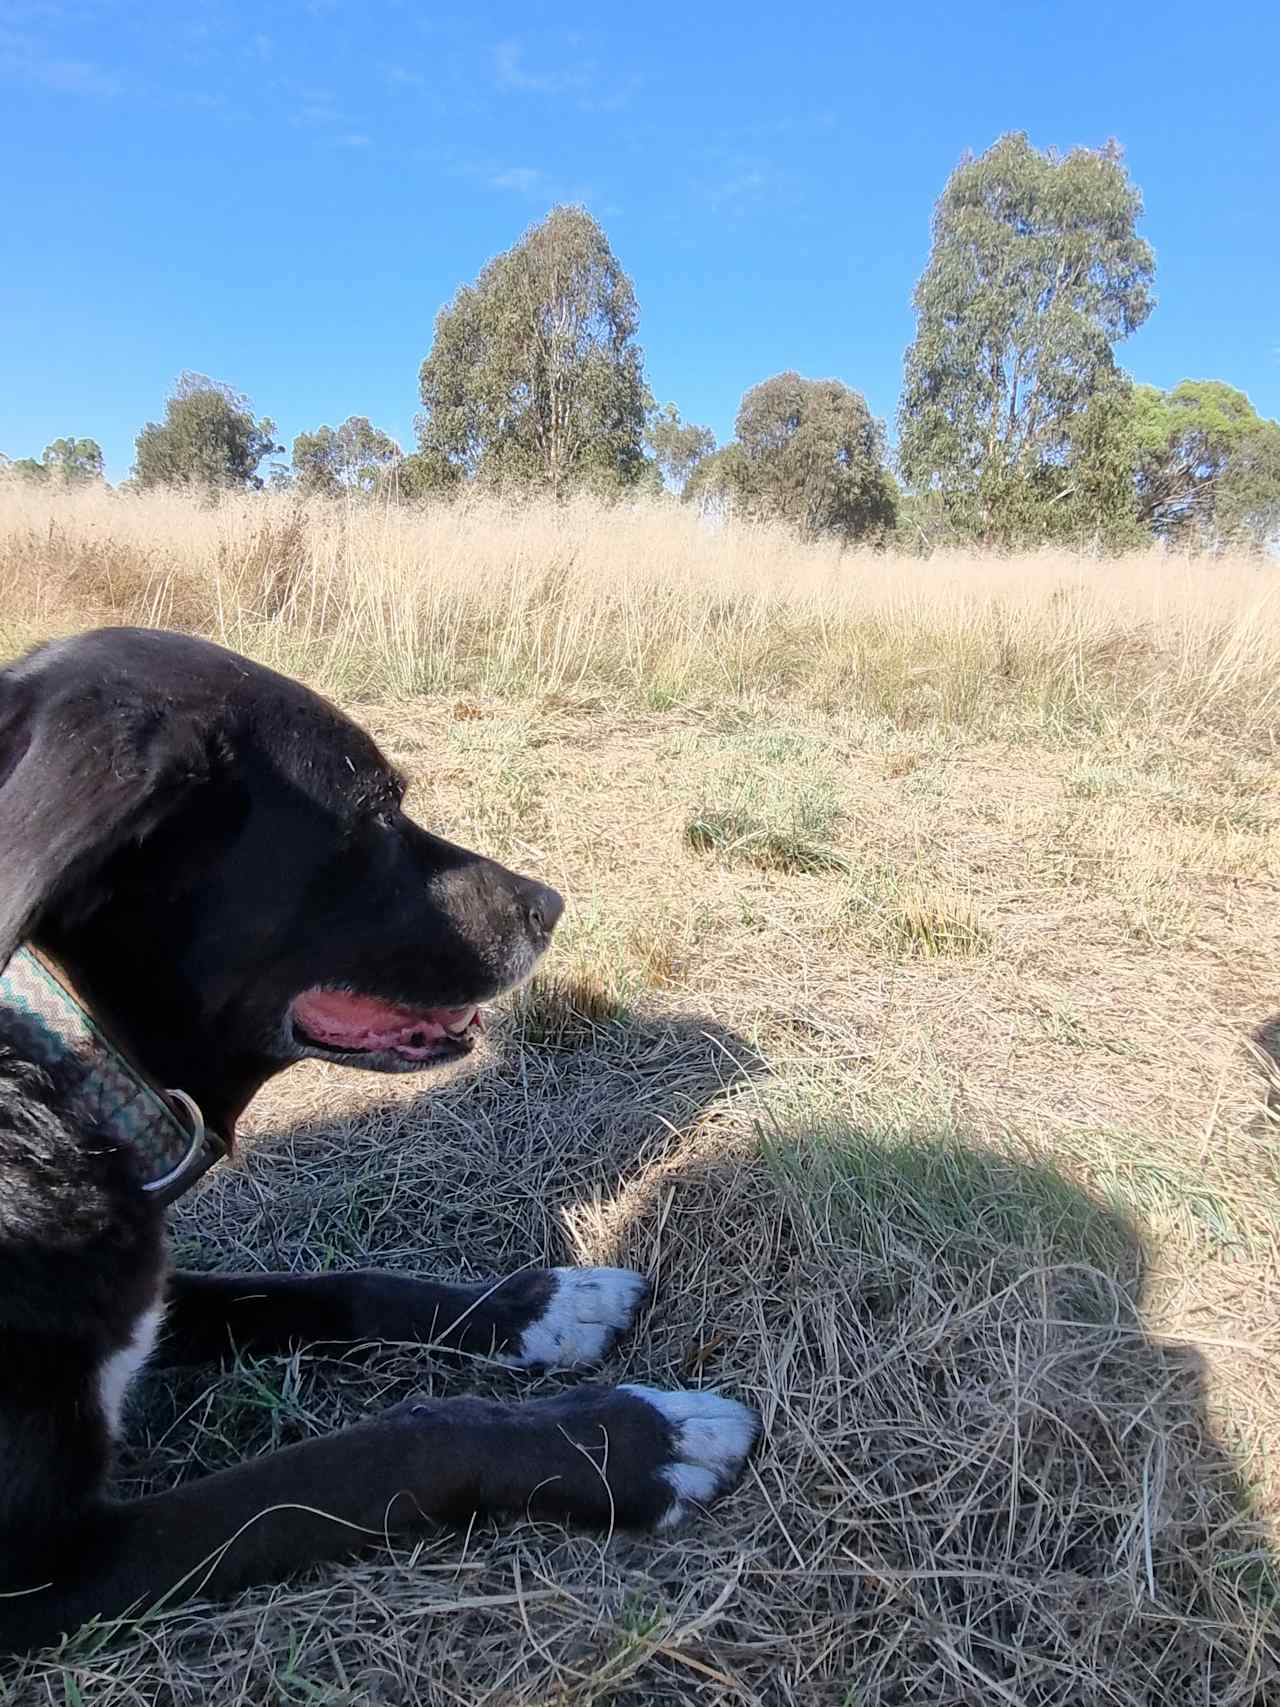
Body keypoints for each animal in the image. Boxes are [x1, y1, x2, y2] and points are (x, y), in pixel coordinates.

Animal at [0, 628, 761, 1652]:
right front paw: (639, 1441)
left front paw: (541, 1306)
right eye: (373, 814)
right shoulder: (41, 1568)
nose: (551, 903)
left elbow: (340, 1286)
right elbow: (381, 1448)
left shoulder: (160, 1297)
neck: (51, 1077)